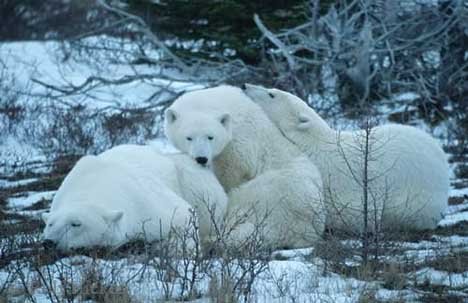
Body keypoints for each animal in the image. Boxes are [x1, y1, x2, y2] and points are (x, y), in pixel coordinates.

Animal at [41, 145, 228, 252]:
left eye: (76, 224)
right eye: (50, 224)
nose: (49, 242)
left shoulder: (142, 201)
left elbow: (183, 215)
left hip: (187, 174)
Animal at [165, 85, 326, 249]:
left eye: (210, 137)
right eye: (188, 138)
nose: (201, 159)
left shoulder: (237, 145)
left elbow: (232, 173)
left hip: (276, 192)